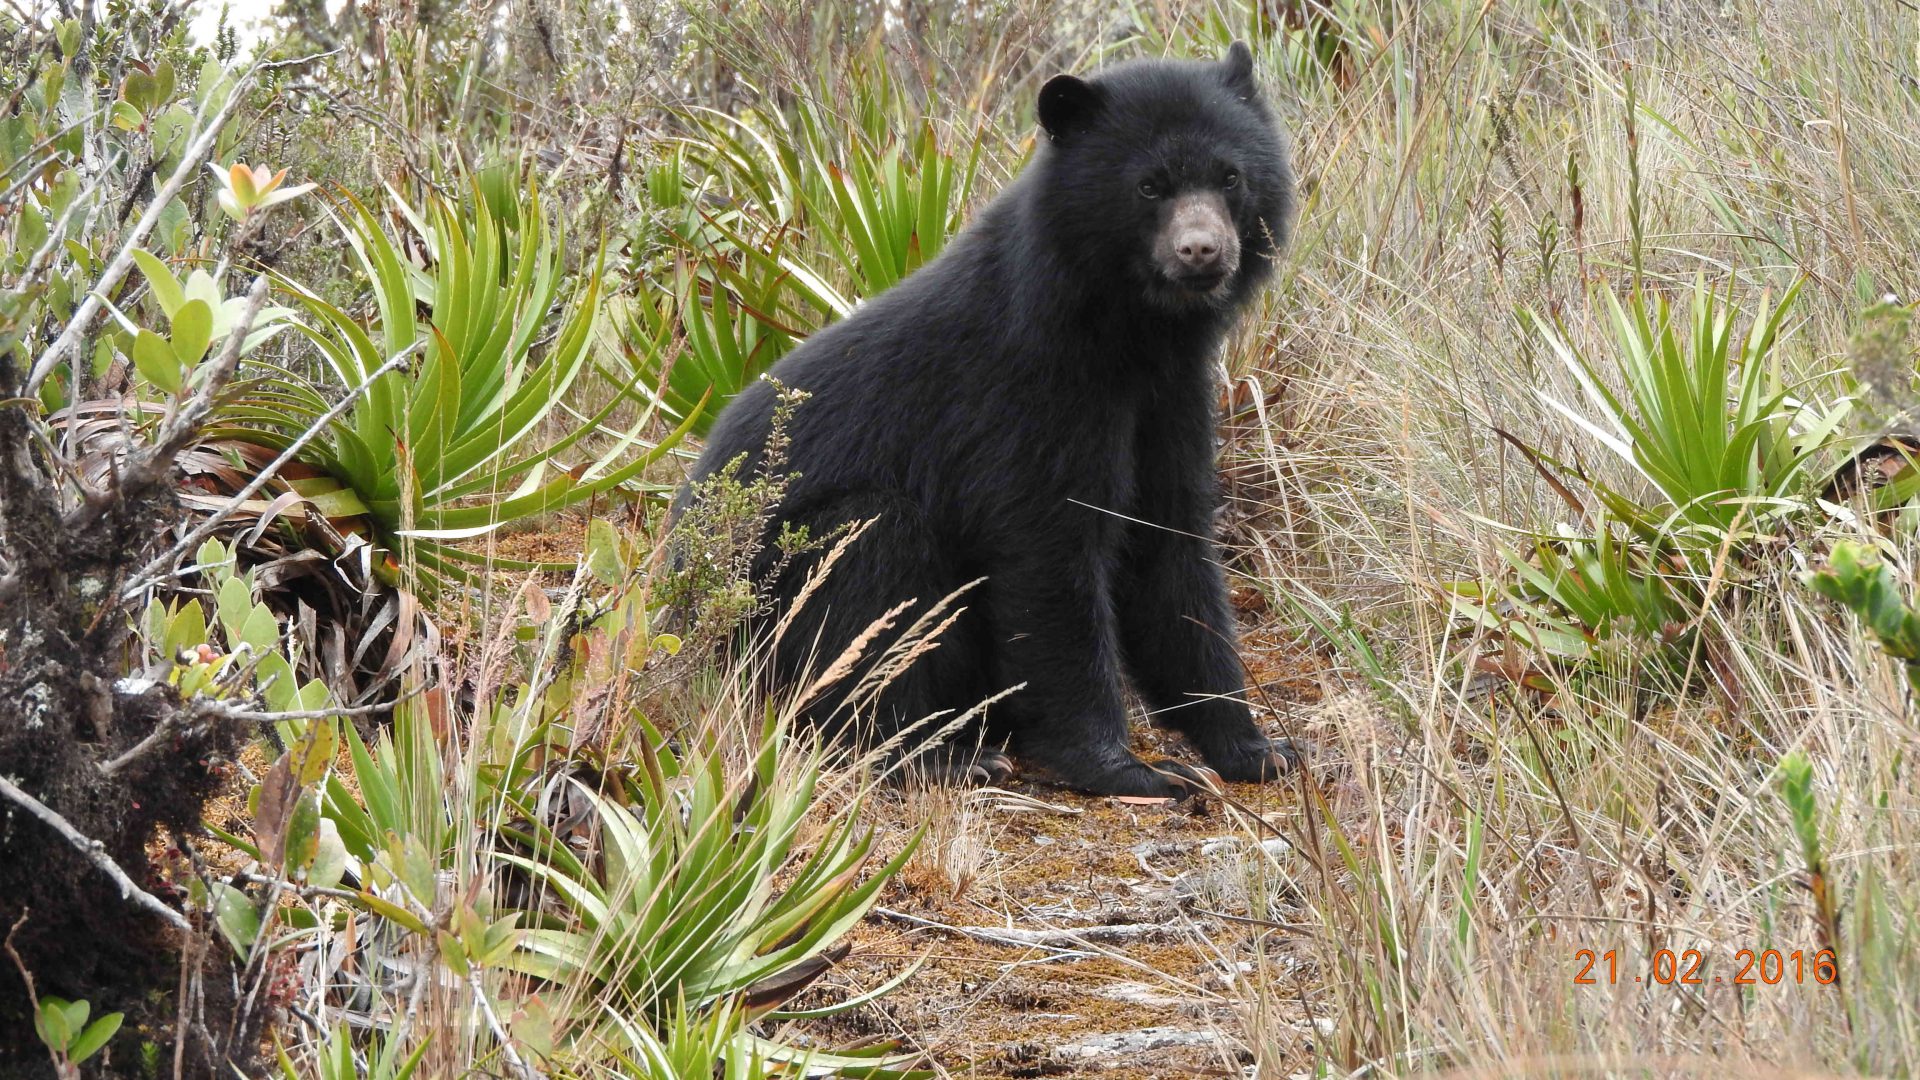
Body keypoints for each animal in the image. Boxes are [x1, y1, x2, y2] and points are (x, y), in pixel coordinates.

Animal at [683, 42, 1297, 795]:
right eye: (1150, 187)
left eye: (1230, 176)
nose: (1203, 251)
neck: (1127, 335)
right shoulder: (1026, 399)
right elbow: (1048, 560)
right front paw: (1130, 770)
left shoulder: (1171, 402)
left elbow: (1171, 551)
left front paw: (1255, 747)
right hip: (772, 599)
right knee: (870, 566)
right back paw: (940, 754)